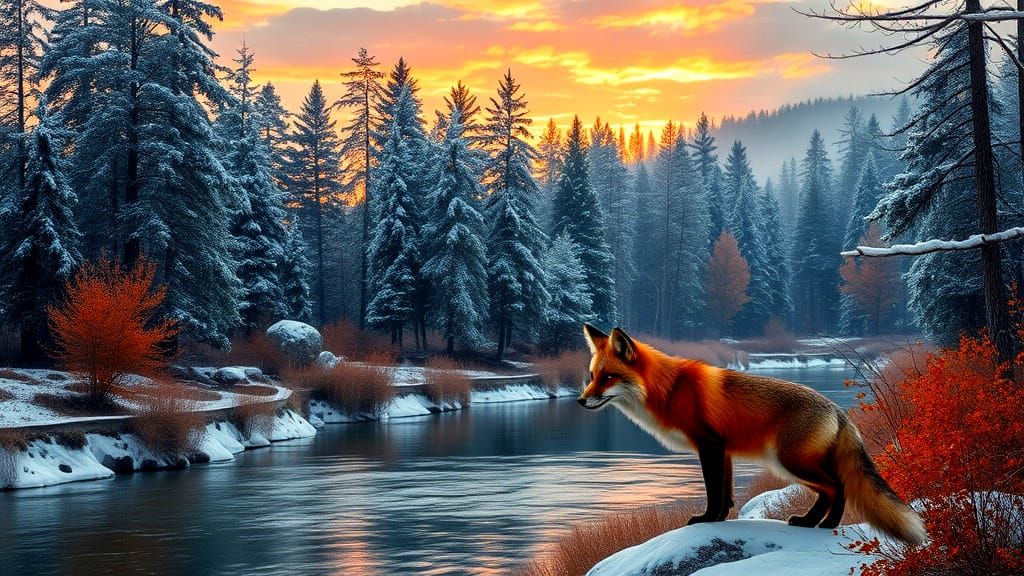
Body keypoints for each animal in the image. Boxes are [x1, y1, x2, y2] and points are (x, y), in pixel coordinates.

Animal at [578, 323, 927, 545]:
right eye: (592, 376)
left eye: (608, 378)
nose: (581, 400)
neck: (669, 389)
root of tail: (838, 410)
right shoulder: (725, 451)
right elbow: (726, 495)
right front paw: (718, 520)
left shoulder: (710, 446)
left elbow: (714, 492)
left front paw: (705, 519)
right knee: (831, 490)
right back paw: (812, 522)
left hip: (788, 462)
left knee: (836, 487)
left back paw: (824, 524)